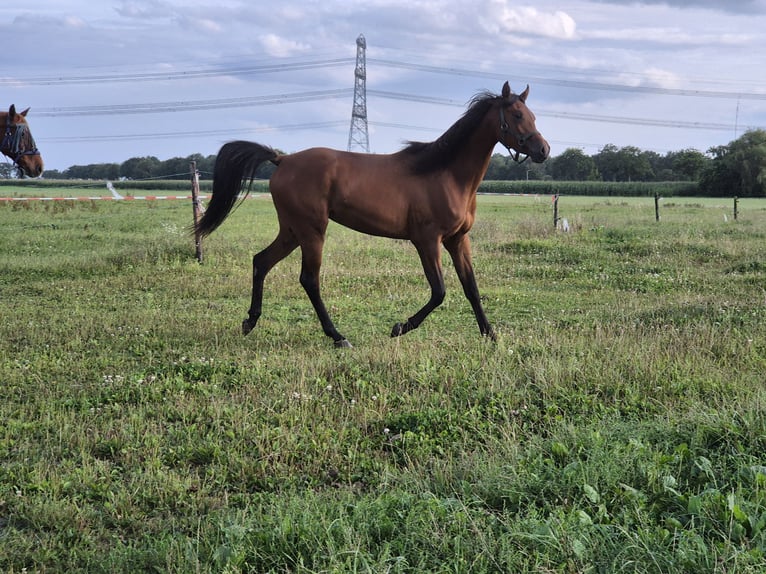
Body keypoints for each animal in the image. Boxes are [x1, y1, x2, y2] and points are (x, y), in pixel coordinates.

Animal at [195, 82, 548, 348]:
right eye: (517, 114)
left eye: (532, 115)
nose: (543, 150)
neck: (444, 173)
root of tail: (283, 160)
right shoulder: (427, 240)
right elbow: (439, 291)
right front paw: (399, 327)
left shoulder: (458, 240)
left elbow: (470, 287)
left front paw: (491, 335)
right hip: (312, 231)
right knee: (309, 279)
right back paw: (338, 337)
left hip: (292, 231)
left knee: (261, 261)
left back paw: (250, 321)